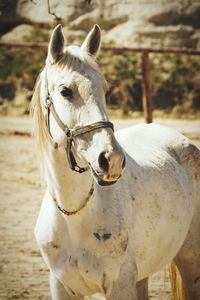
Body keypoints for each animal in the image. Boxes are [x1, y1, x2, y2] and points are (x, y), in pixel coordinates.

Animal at [32, 24, 200, 298]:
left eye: (104, 89)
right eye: (65, 91)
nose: (112, 160)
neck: (74, 214)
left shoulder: (120, 284)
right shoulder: (60, 286)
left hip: (191, 263)